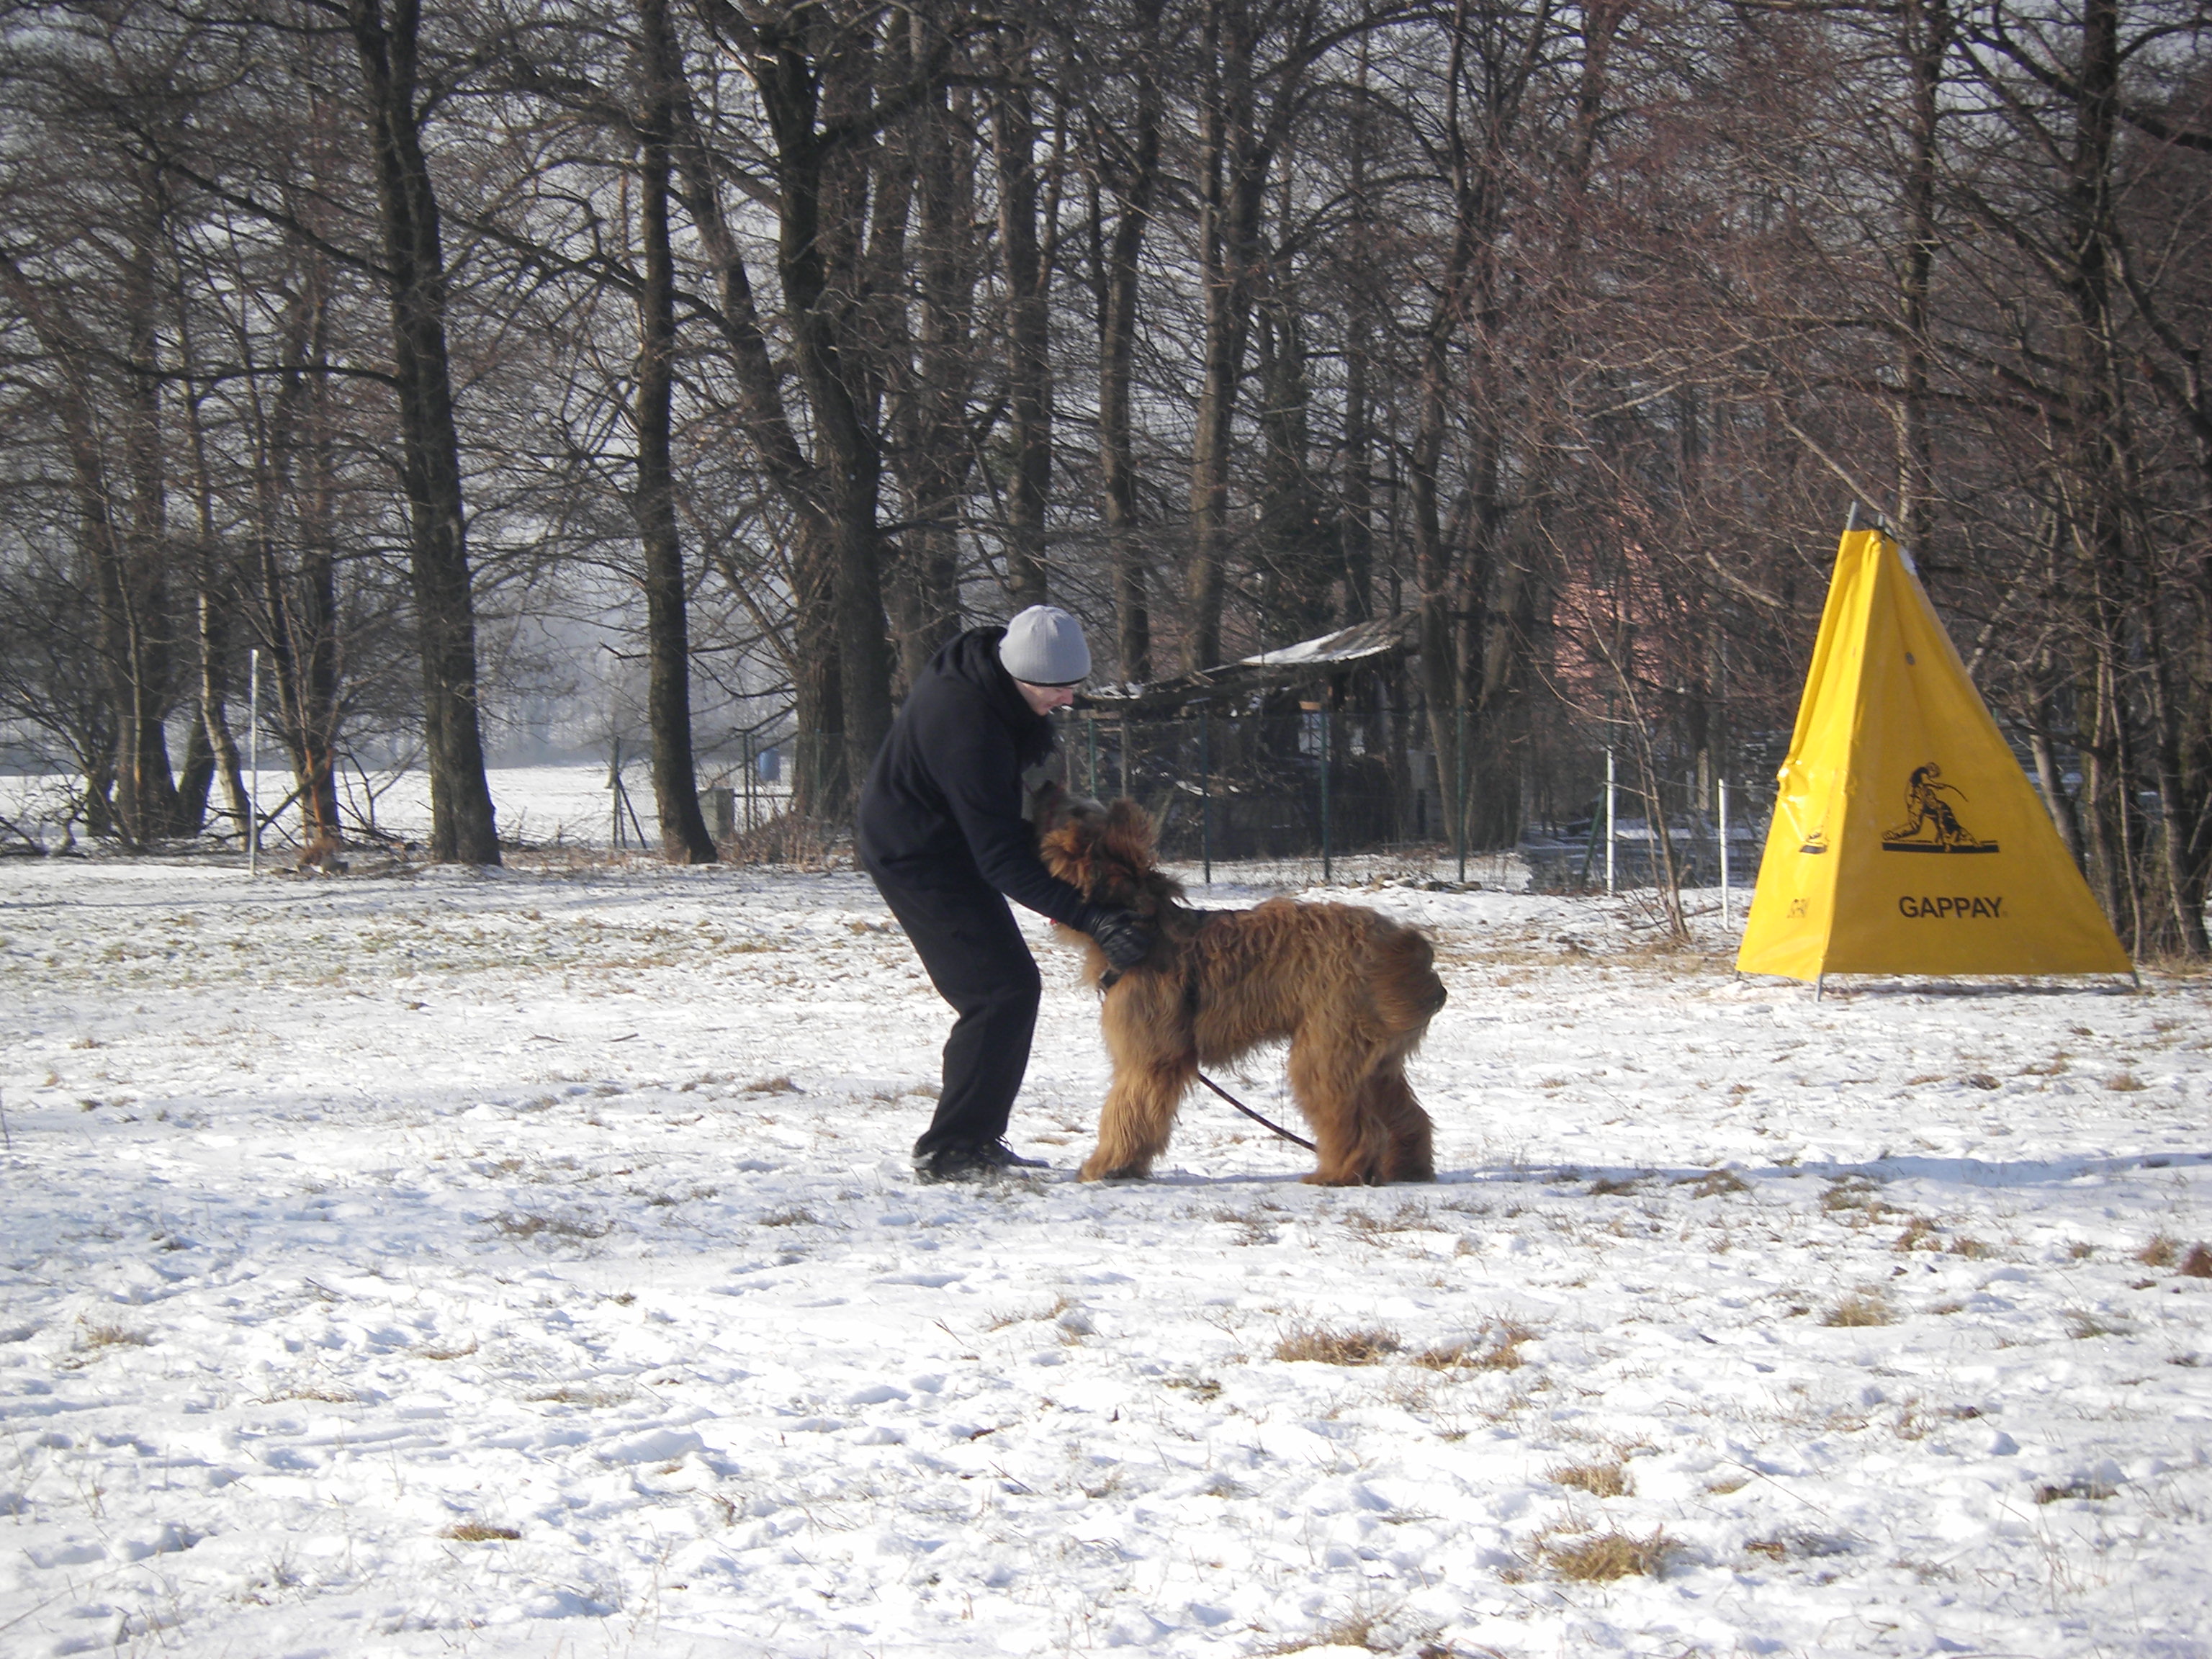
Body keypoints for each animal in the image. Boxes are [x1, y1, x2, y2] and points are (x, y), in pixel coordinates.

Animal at [1039, 801, 1451, 1185]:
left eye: (1071, 847)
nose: (1043, 843)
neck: (1141, 928)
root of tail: (1406, 947)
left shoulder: (1150, 1057)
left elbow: (1127, 1109)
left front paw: (1108, 1164)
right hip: (1377, 1061)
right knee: (1407, 1117)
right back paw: (1406, 1168)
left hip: (1327, 1051)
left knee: (1357, 1124)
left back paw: (1337, 1172)